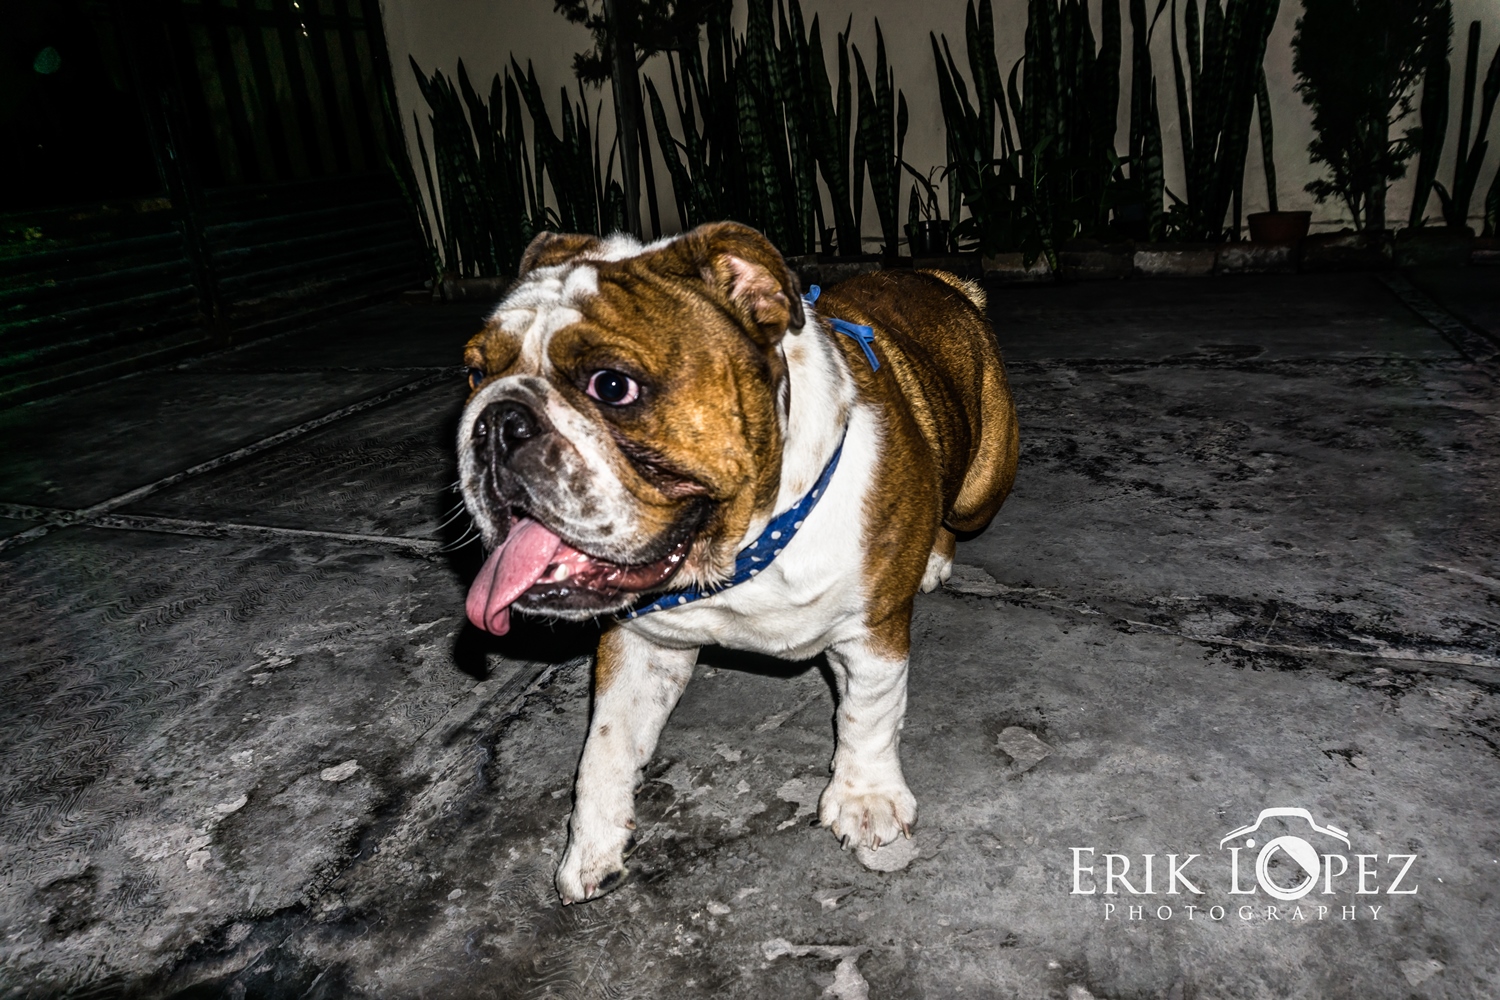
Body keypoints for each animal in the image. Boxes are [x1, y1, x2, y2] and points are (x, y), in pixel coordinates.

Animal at [457, 222, 1018, 903]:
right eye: (473, 373)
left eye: (611, 386)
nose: (494, 420)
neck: (740, 543)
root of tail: (942, 280)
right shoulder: (643, 646)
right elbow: (606, 746)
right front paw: (591, 844)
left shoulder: (872, 632)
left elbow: (870, 712)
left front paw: (866, 798)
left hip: (980, 491)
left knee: (958, 513)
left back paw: (936, 555)